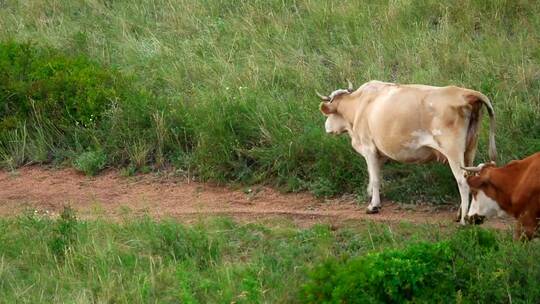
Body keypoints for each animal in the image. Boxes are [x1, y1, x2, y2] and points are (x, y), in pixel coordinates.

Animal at [316, 80, 498, 223]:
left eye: (330, 114)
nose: (326, 128)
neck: (359, 106)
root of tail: (466, 93)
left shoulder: (369, 148)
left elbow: (374, 178)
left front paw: (373, 206)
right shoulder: (381, 154)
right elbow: (376, 176)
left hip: (453, 151)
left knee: (462, 180)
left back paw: (463, 219)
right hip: (469, 149)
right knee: (471, 177)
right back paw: (464, 214)